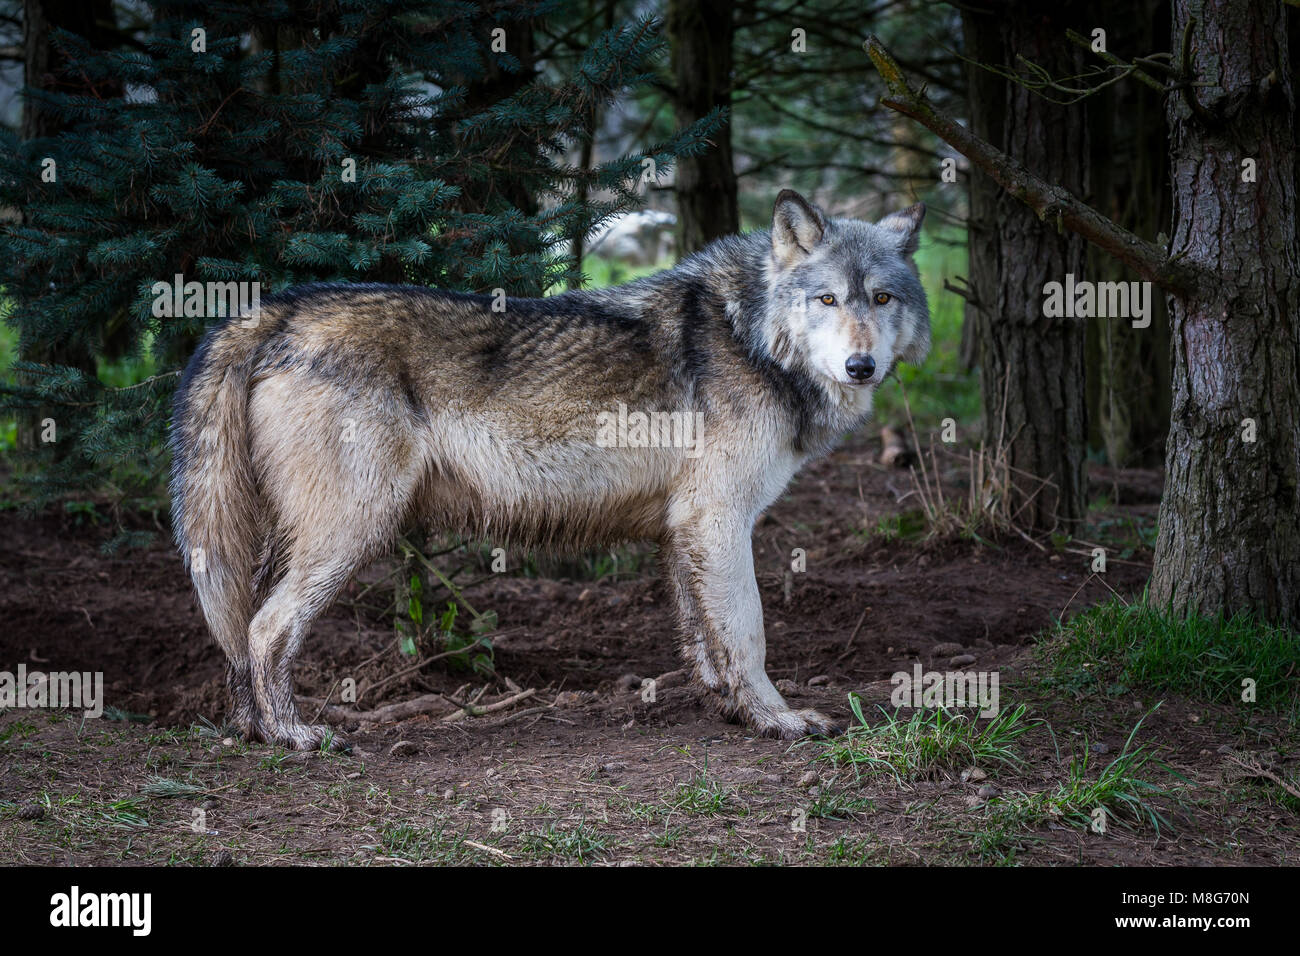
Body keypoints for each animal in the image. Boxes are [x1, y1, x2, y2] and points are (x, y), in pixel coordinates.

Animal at [170, 191, 925, 749]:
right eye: (827, 300)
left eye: (882, 299)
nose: (862, 366)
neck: (753, 336)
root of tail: (276, 309)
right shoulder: (718, 521)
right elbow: (748, 633)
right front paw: (778, 720)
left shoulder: (684, 529)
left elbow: (705, 642)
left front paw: (732, 712)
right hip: (351, 532)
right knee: (265, 629)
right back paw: (296, 736)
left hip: (286, 541)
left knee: (241, 627)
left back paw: (252, 731)